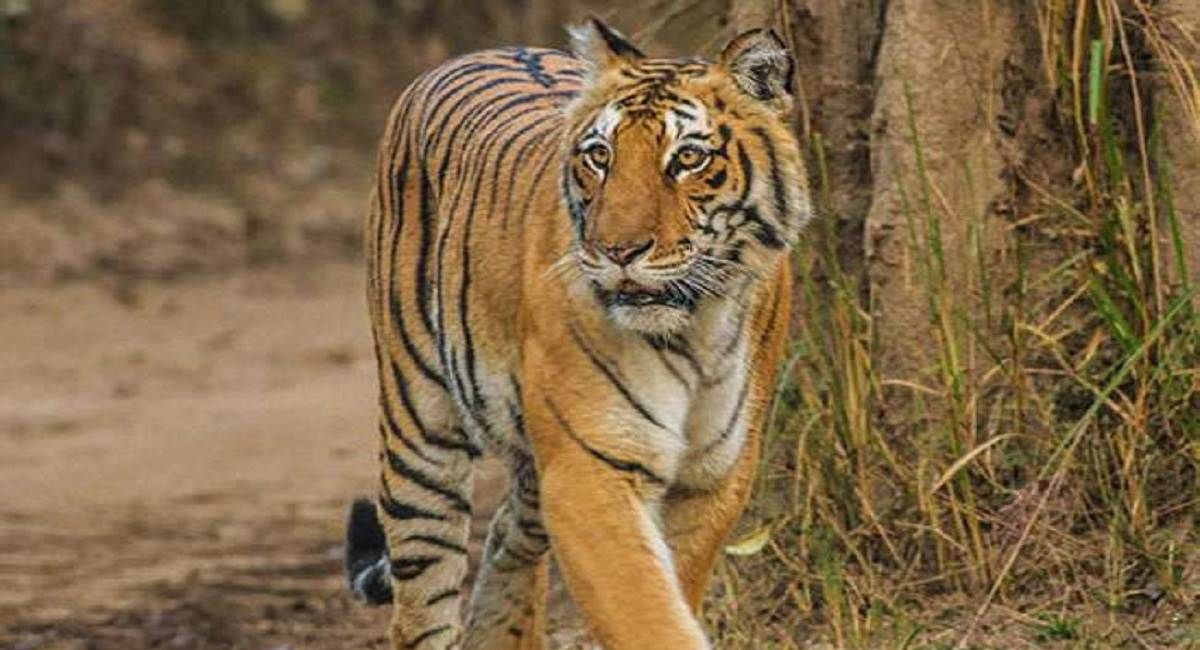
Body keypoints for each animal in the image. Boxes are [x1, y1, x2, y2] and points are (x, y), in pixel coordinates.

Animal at [344, 17, 809, 650]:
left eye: (687, 158)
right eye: (600, 156)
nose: (618, 251)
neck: (696, 329)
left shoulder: (714, 475)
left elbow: (671, 593)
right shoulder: (590, 467)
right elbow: (648, 613)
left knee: (506, 537)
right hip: (419, 429)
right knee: (423, 601)